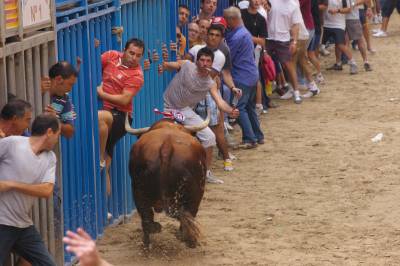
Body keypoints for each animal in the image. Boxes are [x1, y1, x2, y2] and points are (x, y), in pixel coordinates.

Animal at [126, 111, 211, 248]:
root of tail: (166, 147)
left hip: (137, 188)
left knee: (146, 218)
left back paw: (147, 243)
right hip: (196, 192)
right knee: (189, 215)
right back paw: (190, 241)